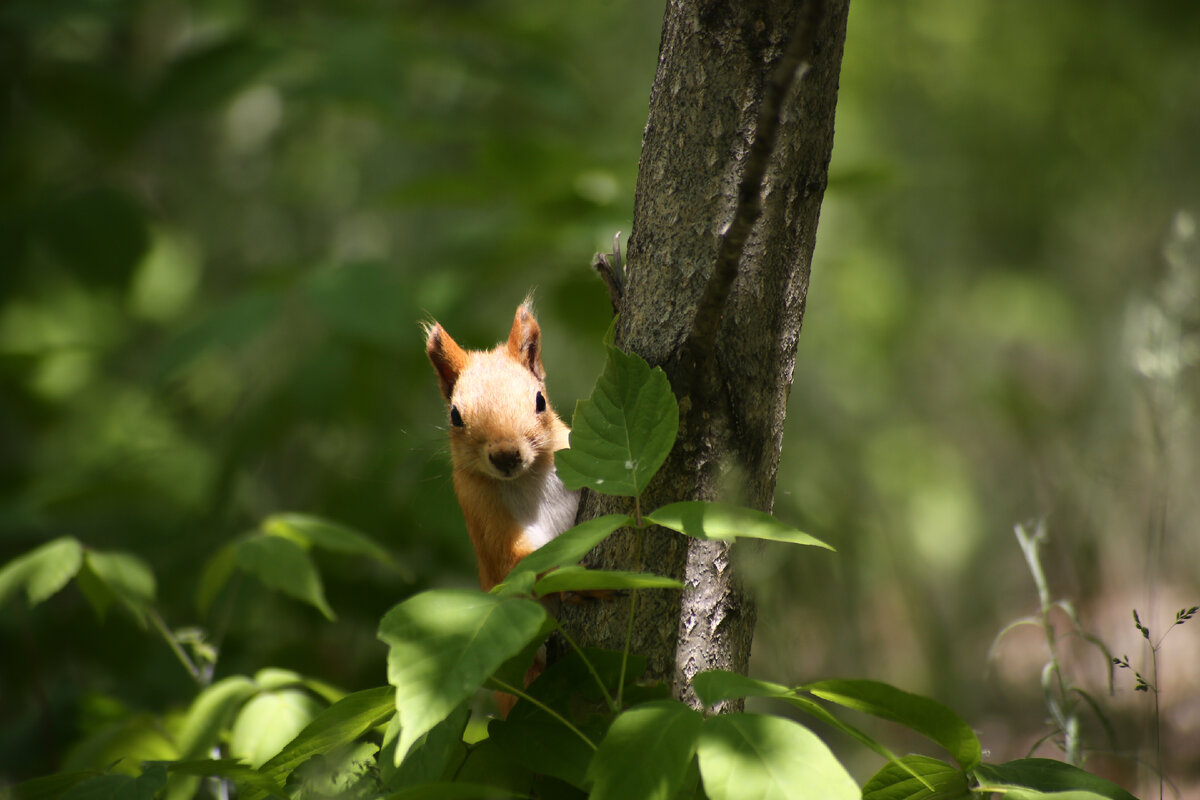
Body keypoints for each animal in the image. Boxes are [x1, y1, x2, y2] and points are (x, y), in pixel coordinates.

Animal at [427, 303, 580, 592]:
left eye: (540, 401)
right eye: (455, 416)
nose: (505, 456)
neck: (528, 479)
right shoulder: (478, 506)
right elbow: (517, 564)